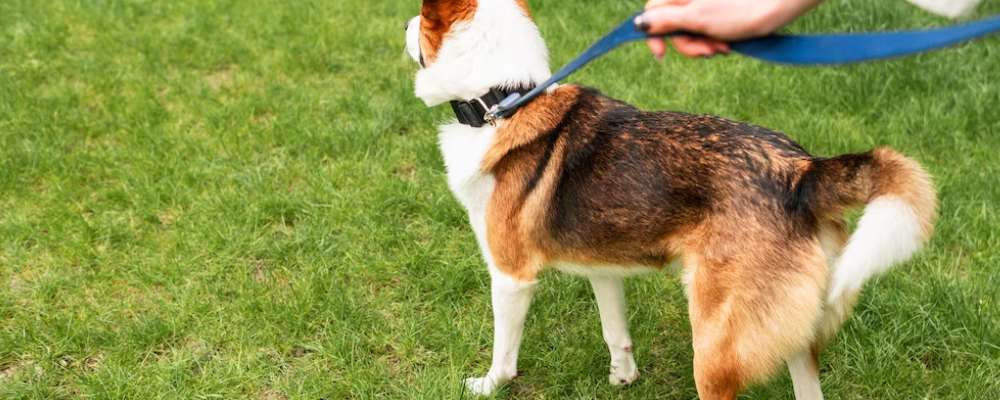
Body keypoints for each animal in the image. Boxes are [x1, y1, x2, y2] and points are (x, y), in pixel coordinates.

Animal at [402, 1, 932, 398]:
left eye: (421, 16)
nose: (402, 26)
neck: (506, 100)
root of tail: (800, 171)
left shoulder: (511, 276)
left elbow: (504, 353)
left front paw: (487, 385)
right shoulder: (603, 267)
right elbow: (615, 332)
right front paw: (622, 378)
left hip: (715, 350)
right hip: (795, 333)